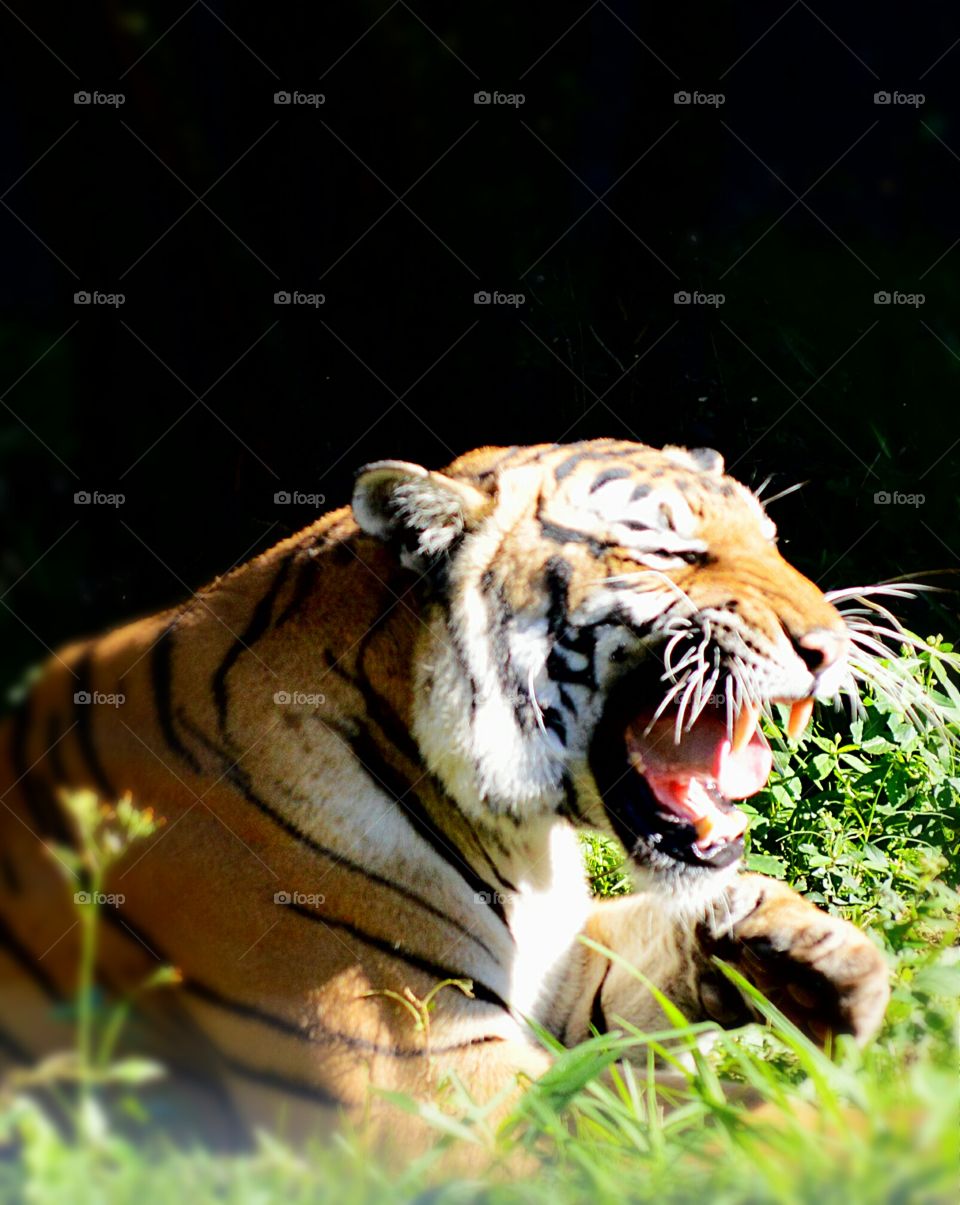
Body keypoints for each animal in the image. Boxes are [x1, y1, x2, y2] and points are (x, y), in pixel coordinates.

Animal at [0, 439, 893, 1152]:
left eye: (770, 542)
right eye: (673, 552)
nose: (830, 646)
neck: (512, 837)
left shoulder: (555, 976)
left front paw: (808, 950)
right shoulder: (438, 1086)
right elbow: (706, 1124)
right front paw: (878, 1125)